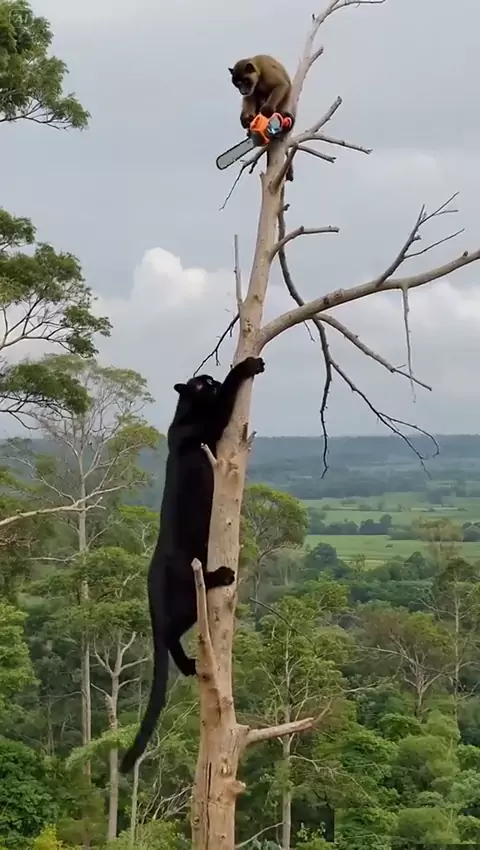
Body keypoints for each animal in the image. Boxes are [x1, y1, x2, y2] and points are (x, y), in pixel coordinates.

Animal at [120, 356, 265, 773]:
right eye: (202, 382)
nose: (211, 380)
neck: (184, 414)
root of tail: (153, 566)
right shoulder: (212, 425)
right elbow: (229, 397)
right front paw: (248, 364)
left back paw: (187, 667)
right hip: (188, 594)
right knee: (169, 632)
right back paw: (221, 577)